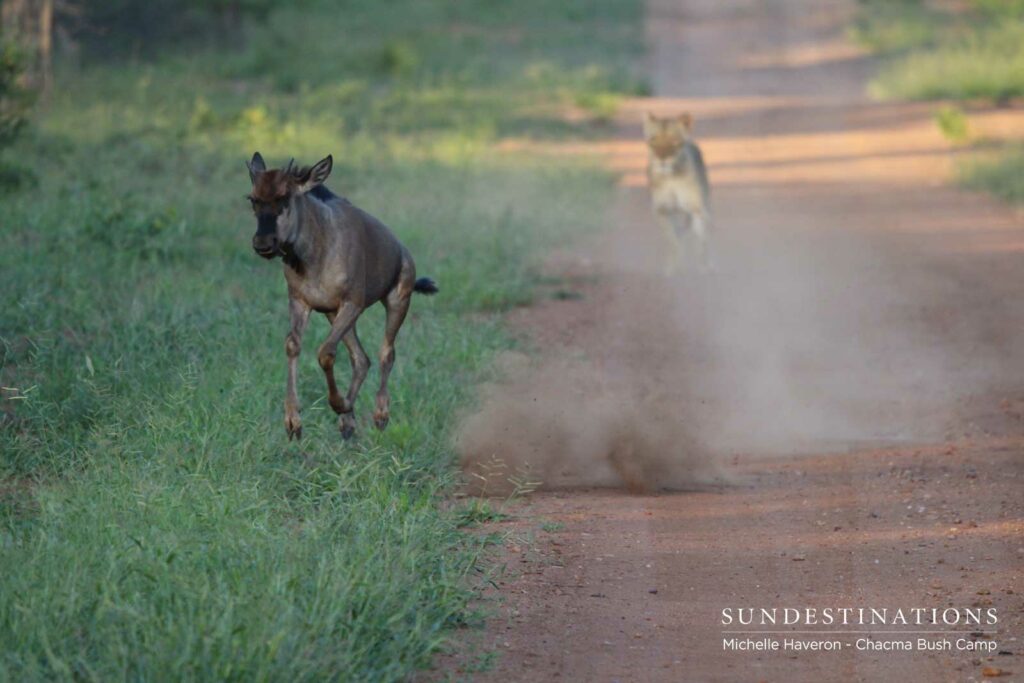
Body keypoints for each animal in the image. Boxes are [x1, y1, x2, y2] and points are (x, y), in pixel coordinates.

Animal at [245, 152, 438, 440]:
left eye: (285, 197)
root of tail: (402, 250)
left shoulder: (353, 303)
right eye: (253, 199)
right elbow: (293, 345)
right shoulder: (301, 302)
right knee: (361, 359)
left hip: (397, 300)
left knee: (386, 353)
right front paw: (293, 421)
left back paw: (380, 415)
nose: (263, 244)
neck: (316, 251)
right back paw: (348, 422)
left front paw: (338, 404)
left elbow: (325, 352)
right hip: (332, 313)